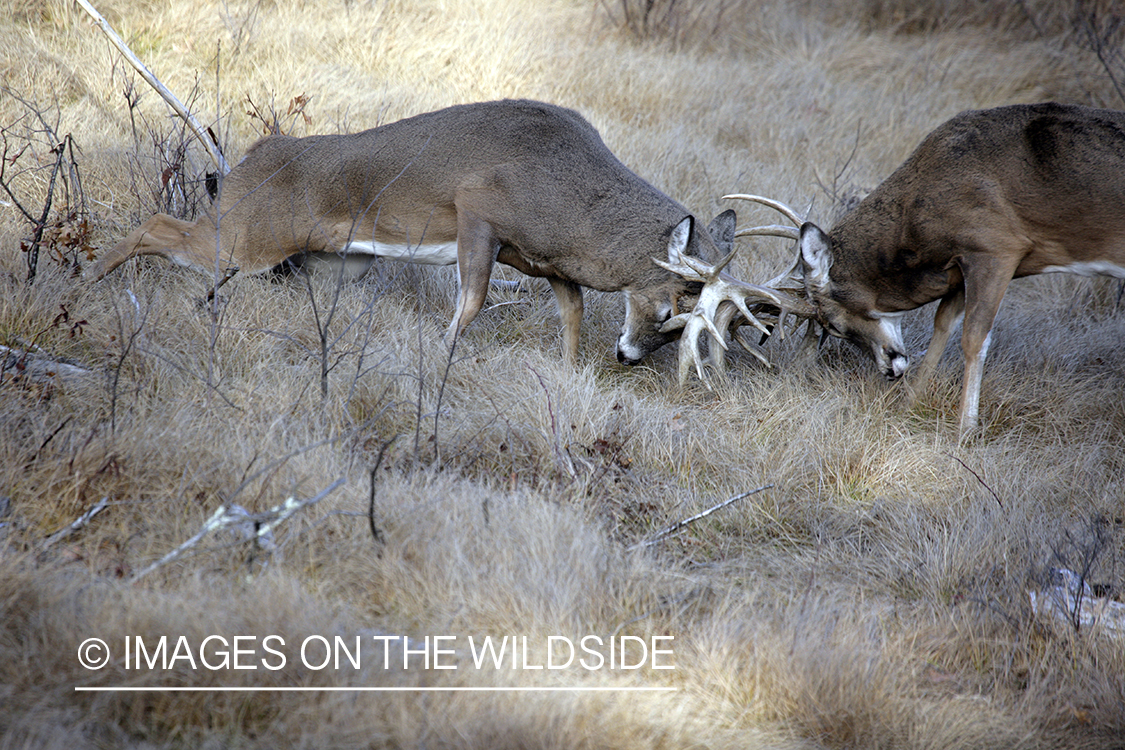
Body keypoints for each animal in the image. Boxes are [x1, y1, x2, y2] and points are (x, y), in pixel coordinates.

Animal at [92, 100, 751, 366]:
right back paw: (89, 278)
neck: (575, 207)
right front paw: (439, 353)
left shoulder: (547, 262)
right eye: (673, 304)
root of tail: (251, 158)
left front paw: (570, 375)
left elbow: (573, 314)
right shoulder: (477, 209)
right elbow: (473, 299)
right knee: (157, 223)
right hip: (248, 235)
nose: (631, 357)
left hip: (326, 258)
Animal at [724, 102, 1125, 436]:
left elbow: (974, 337)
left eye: (833, 325)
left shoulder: (997, 247)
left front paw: (965, 429)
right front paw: (909, 403)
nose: (889, 370)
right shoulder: (961, 264)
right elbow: (943, 324)